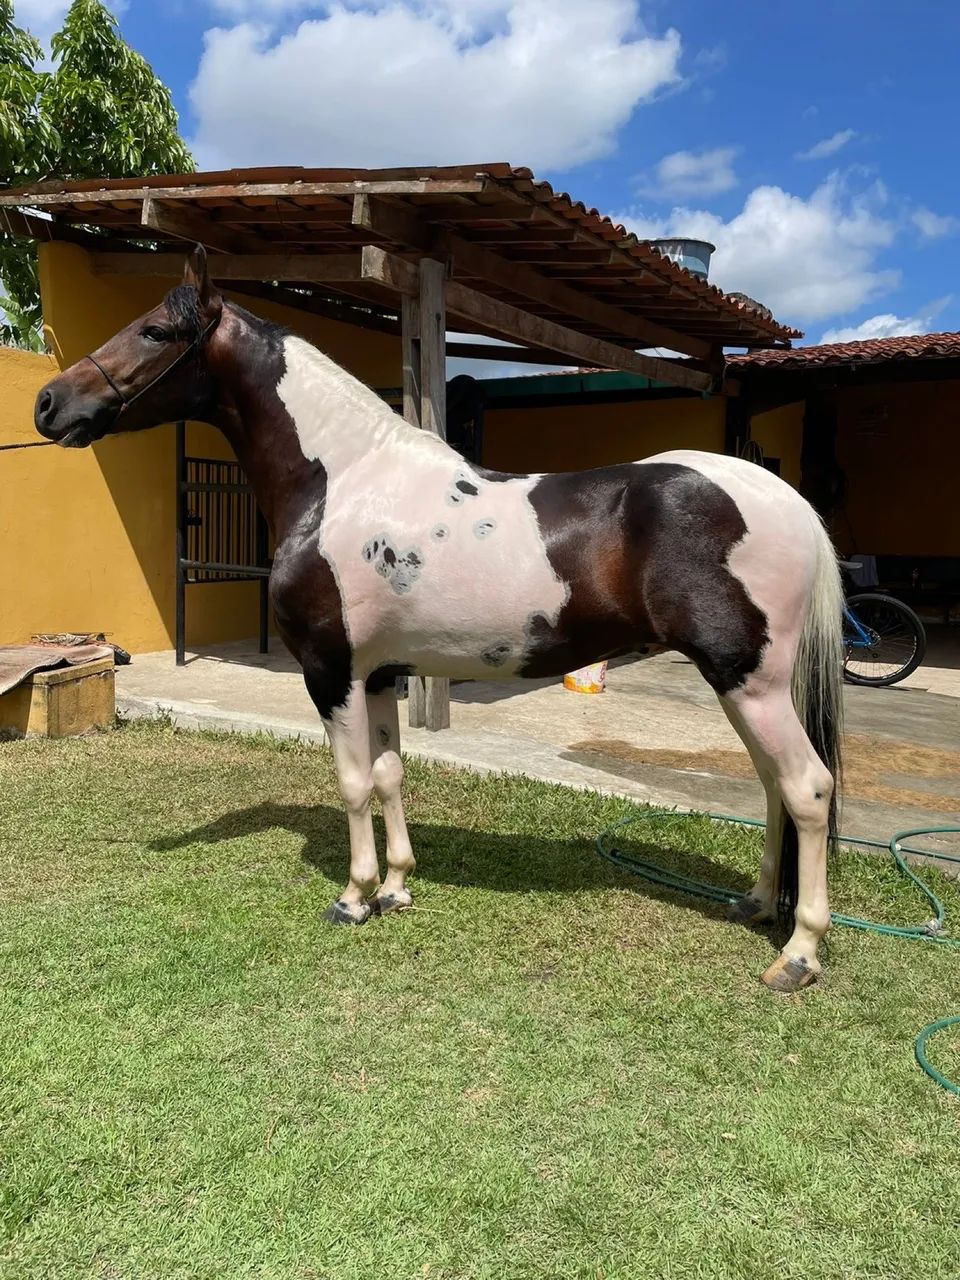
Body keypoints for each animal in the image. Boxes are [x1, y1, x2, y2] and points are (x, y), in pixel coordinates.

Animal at [34, 246, 844, 993]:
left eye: (155, 330)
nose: (48, 403)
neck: (343, 482)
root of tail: (787, 502)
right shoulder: (380, 674)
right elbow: (390, 773)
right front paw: (396, 887)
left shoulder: (330, 673)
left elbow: (353, 782)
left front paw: (354, 897)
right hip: (744, 685)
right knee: (773, 787)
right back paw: (757, 905)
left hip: (749, 682)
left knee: (806, 787)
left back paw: (798, 954)